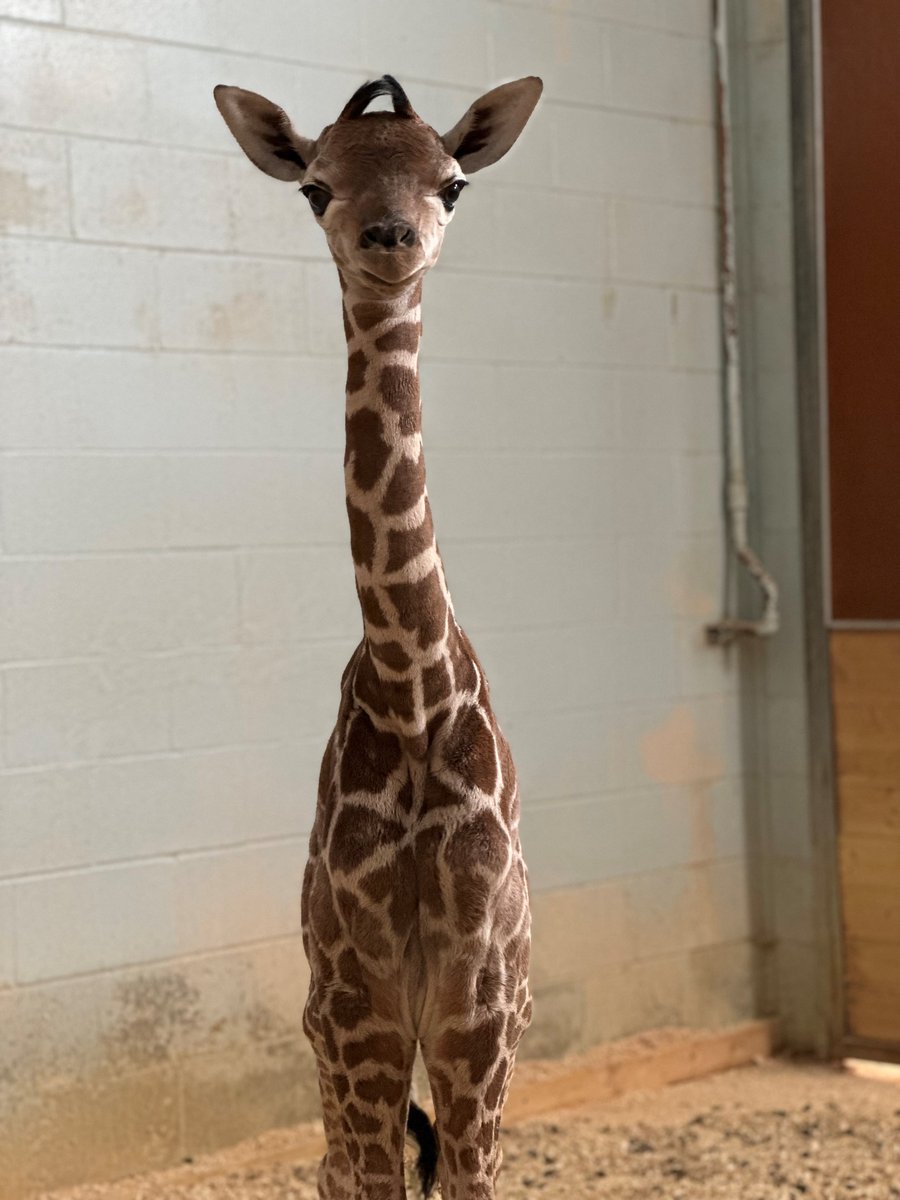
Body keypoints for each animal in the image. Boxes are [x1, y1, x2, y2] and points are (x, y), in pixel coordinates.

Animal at [215, 74, 542, 1200]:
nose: (391, 236)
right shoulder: (358, 1002)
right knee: (336, 1169)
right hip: (328, 1027)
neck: (411, 690)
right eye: (316, 185)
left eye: (453, 181)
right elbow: (373, 1179)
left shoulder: (478, 1007)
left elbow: (476, 1180)